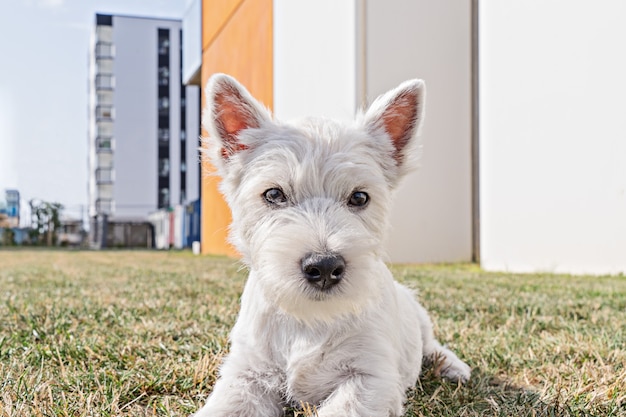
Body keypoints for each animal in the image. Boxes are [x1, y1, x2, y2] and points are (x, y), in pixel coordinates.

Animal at [195, 73, 468, 414]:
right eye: (273, 194)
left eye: (360, 197)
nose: (324, 266)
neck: (309, 320)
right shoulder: (247, 372)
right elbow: (228, 405)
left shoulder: (370, 377)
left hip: (419, 317)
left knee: (431, 345)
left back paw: (454, 367)